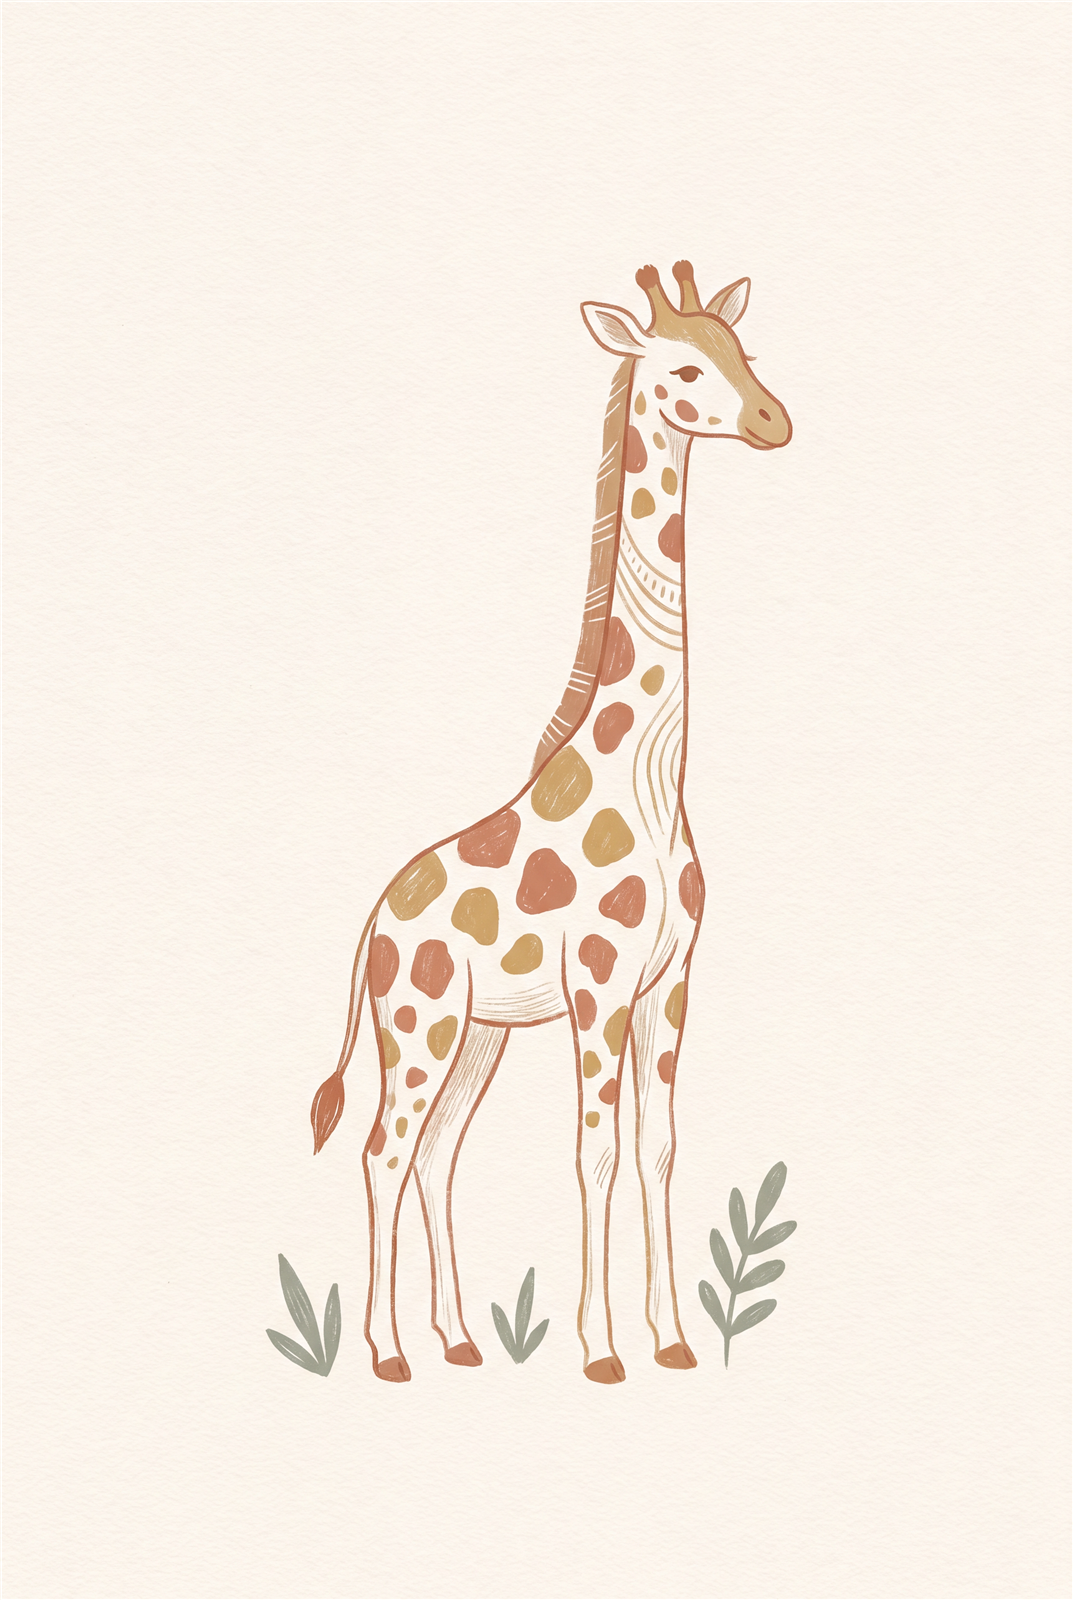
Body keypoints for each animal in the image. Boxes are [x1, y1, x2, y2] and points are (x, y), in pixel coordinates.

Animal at [311, 261, 792, 1383]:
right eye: (682, 369)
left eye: (744, 351)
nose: (772, 419)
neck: (646, 779)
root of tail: (375, 923)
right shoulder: (598, 986)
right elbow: (595, 1148)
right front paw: (601, 1351)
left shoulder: (668, 983)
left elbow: (657, 1145)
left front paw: (672, 1340)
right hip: (419, 1020)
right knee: (384, 1149)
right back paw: (386, 1351)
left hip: (476, 1032)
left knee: (436, 1154)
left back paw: (456, 1339)